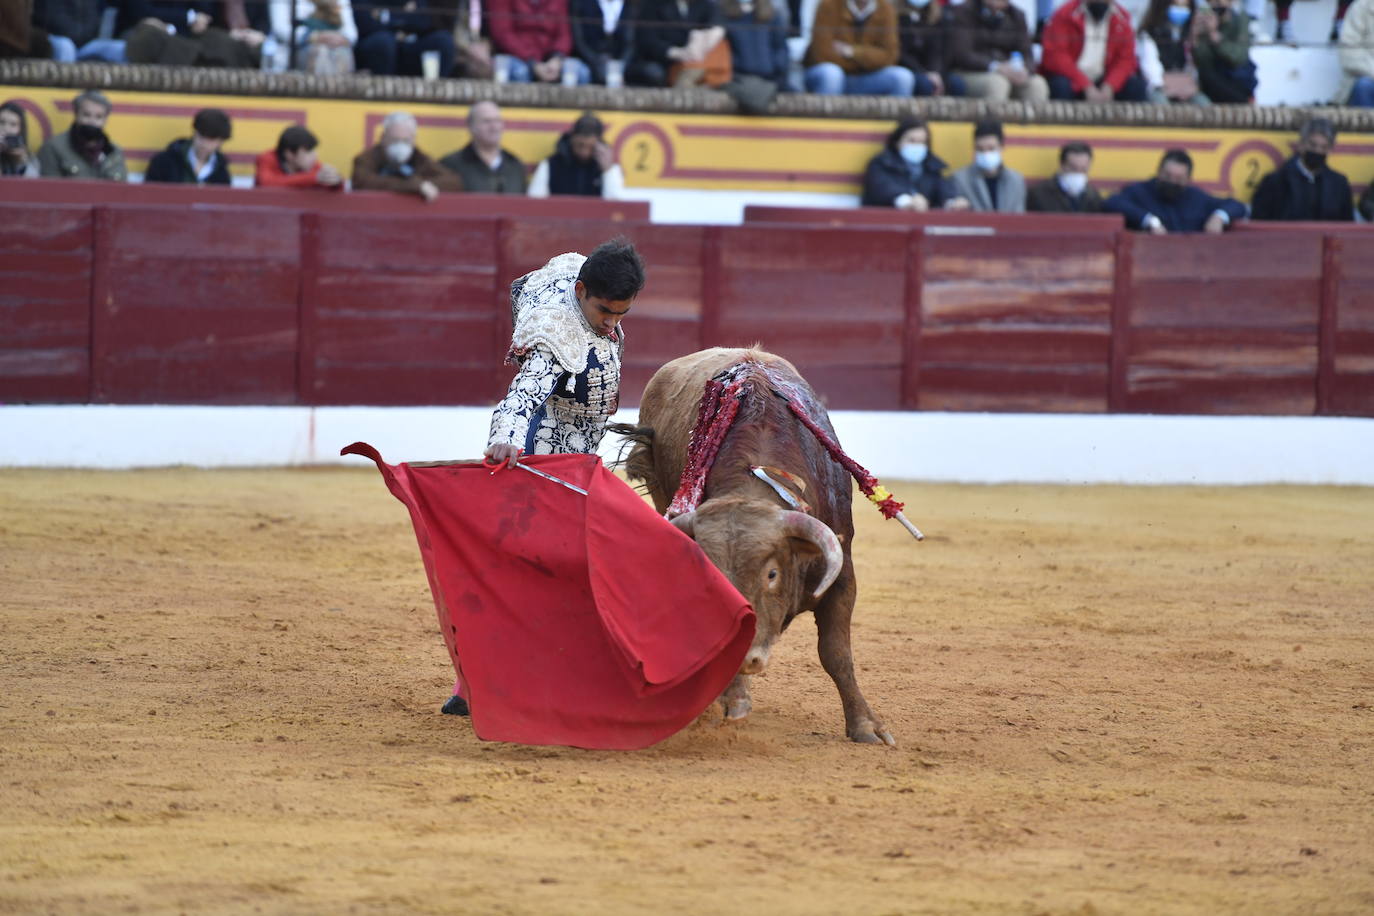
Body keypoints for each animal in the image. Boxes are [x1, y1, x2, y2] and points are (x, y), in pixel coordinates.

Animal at [618, 347, 895, 747]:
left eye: (772, 574)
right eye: (713, 580)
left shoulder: (842, 573)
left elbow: (836, 652)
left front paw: (866, 726)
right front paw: (732, 699)